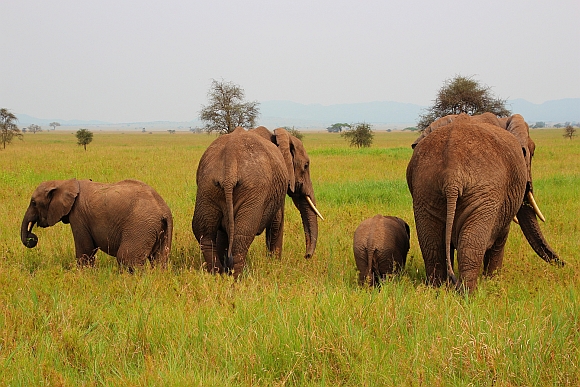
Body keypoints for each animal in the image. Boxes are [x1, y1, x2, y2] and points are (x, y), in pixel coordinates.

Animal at [21, 179, 174, 270]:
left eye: (34, 203)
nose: (33, 238)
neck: (64, 182)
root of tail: (163, 210)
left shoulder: (78, 216)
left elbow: (85, 250)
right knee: (159, 260)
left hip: (140, 226)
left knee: (126, 258)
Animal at [193, 126, 324, 278]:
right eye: (306, 165)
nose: (307, 256)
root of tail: (230, 160)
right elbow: (277, 222)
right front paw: (275, 265)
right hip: (253, 190)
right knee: (242, 235)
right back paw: (236, 278)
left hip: (207, 186)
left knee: (205, 235)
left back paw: (218, 275)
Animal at [406, 113, 564, 292]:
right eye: (533, 150)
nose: (564, 264)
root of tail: (452, 178)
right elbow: (501, 235)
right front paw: (493, 281)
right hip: (484, 195)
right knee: (471, 245)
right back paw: (467, 293)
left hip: (426, 192)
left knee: (432, 246)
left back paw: (437, 290)